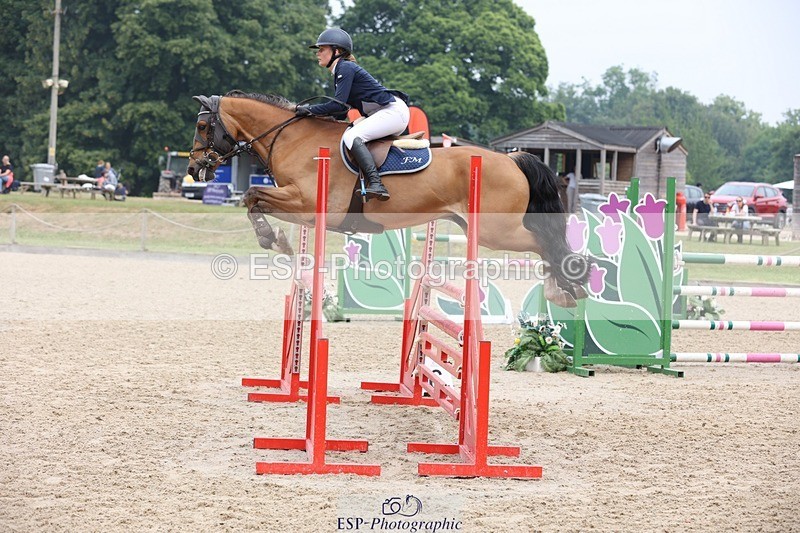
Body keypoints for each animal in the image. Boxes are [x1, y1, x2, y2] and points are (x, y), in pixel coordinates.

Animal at [186, 91, 588, 307]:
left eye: (203, 126)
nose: (193, 168)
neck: (293, 138)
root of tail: (513, 159)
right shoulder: (303, 210)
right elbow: (254, 200)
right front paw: (278, 241)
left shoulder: (307, 202)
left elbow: (252, 195)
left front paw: (272, 238)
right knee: (544, 243)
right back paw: (566, 289)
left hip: (497, 229)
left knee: (545, 241)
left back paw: (567, 288)